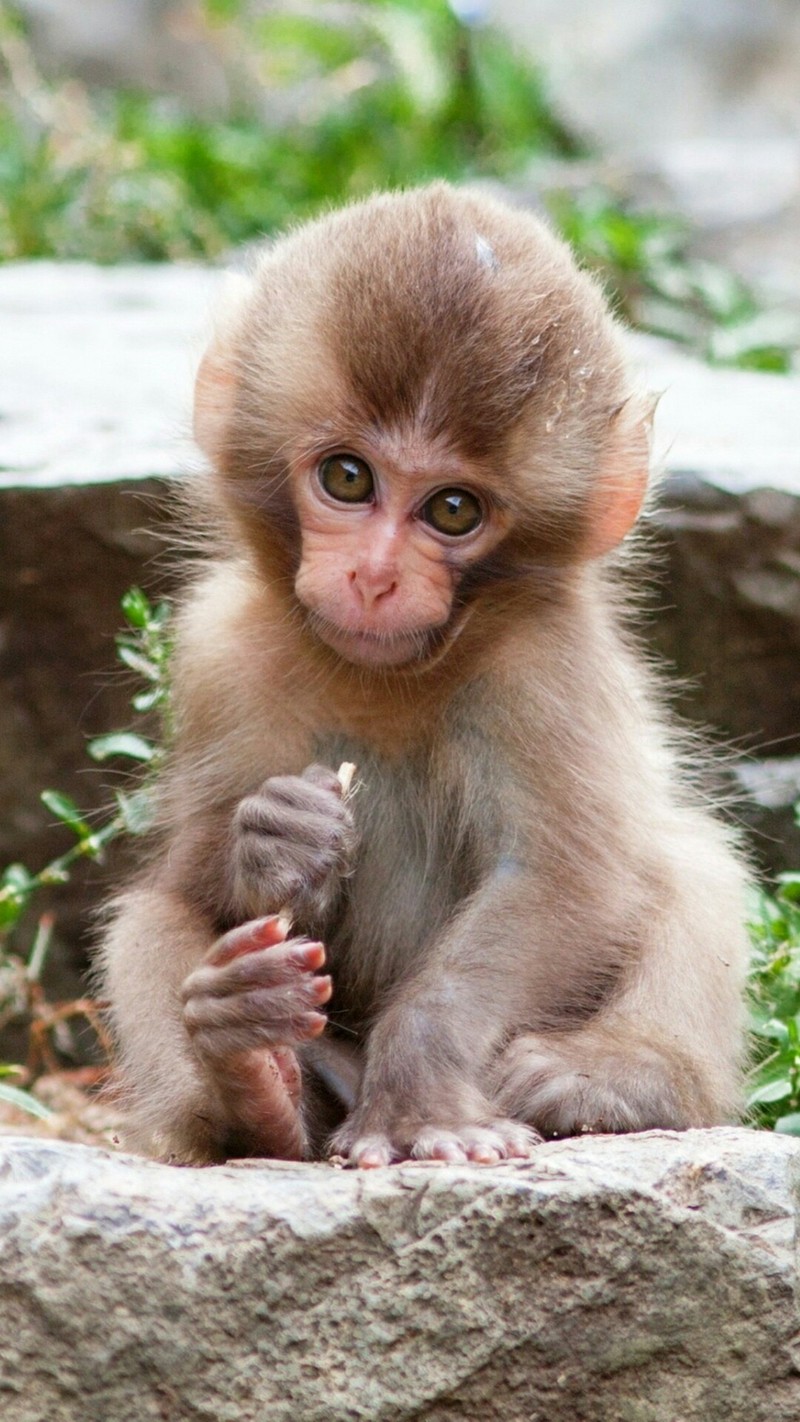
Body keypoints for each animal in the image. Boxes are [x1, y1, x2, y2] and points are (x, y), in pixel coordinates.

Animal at [98, 180, 744, 1166]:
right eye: (347, 478)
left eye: (452, 510)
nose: (375, 577)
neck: (390, 677)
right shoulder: (218, 650)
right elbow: (190, 884)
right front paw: (275, 842)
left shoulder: (545, 668)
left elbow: (562, 878)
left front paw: (422, 1101)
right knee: (149, 916)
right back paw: (252, 1081)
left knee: (688, 860)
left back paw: (620, 1076)